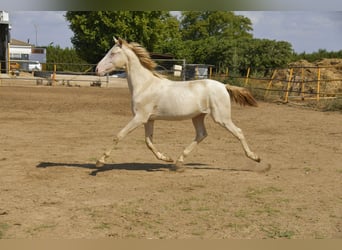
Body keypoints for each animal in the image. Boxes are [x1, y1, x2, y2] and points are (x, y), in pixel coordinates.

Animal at [95, 37, 260, 171]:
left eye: (113, 53)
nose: (97, 69)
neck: (145, 85)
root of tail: (224, 86)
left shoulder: (139, 117)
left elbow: (119, 135)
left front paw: (100, 161)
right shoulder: (148, 119)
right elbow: (148, 142)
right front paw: (166, 158)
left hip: (221, 117)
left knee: (238, 132)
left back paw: (255, 157)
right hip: (198, 117)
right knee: (201, 134)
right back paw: (178, 162)